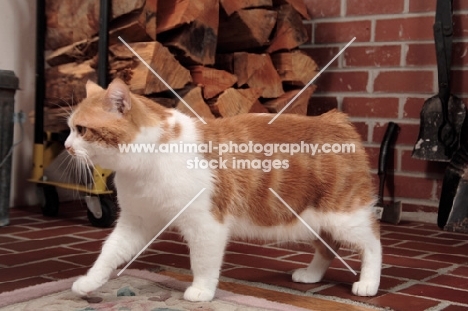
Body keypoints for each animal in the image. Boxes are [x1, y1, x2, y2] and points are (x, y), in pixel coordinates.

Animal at [66, 79, 380, 304]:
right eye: (69, 128)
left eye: (81, 130)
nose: (67, 147)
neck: (146, 164)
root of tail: (332, 119)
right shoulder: (136, 222)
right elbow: (109, 252)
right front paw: (89, 282)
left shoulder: (205, 224)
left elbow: (203, 261)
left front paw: (202, 291)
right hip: (312, 220)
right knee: (328, 247)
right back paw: (312, 275)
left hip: (343, 216)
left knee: (373, 243)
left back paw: (368, 283)